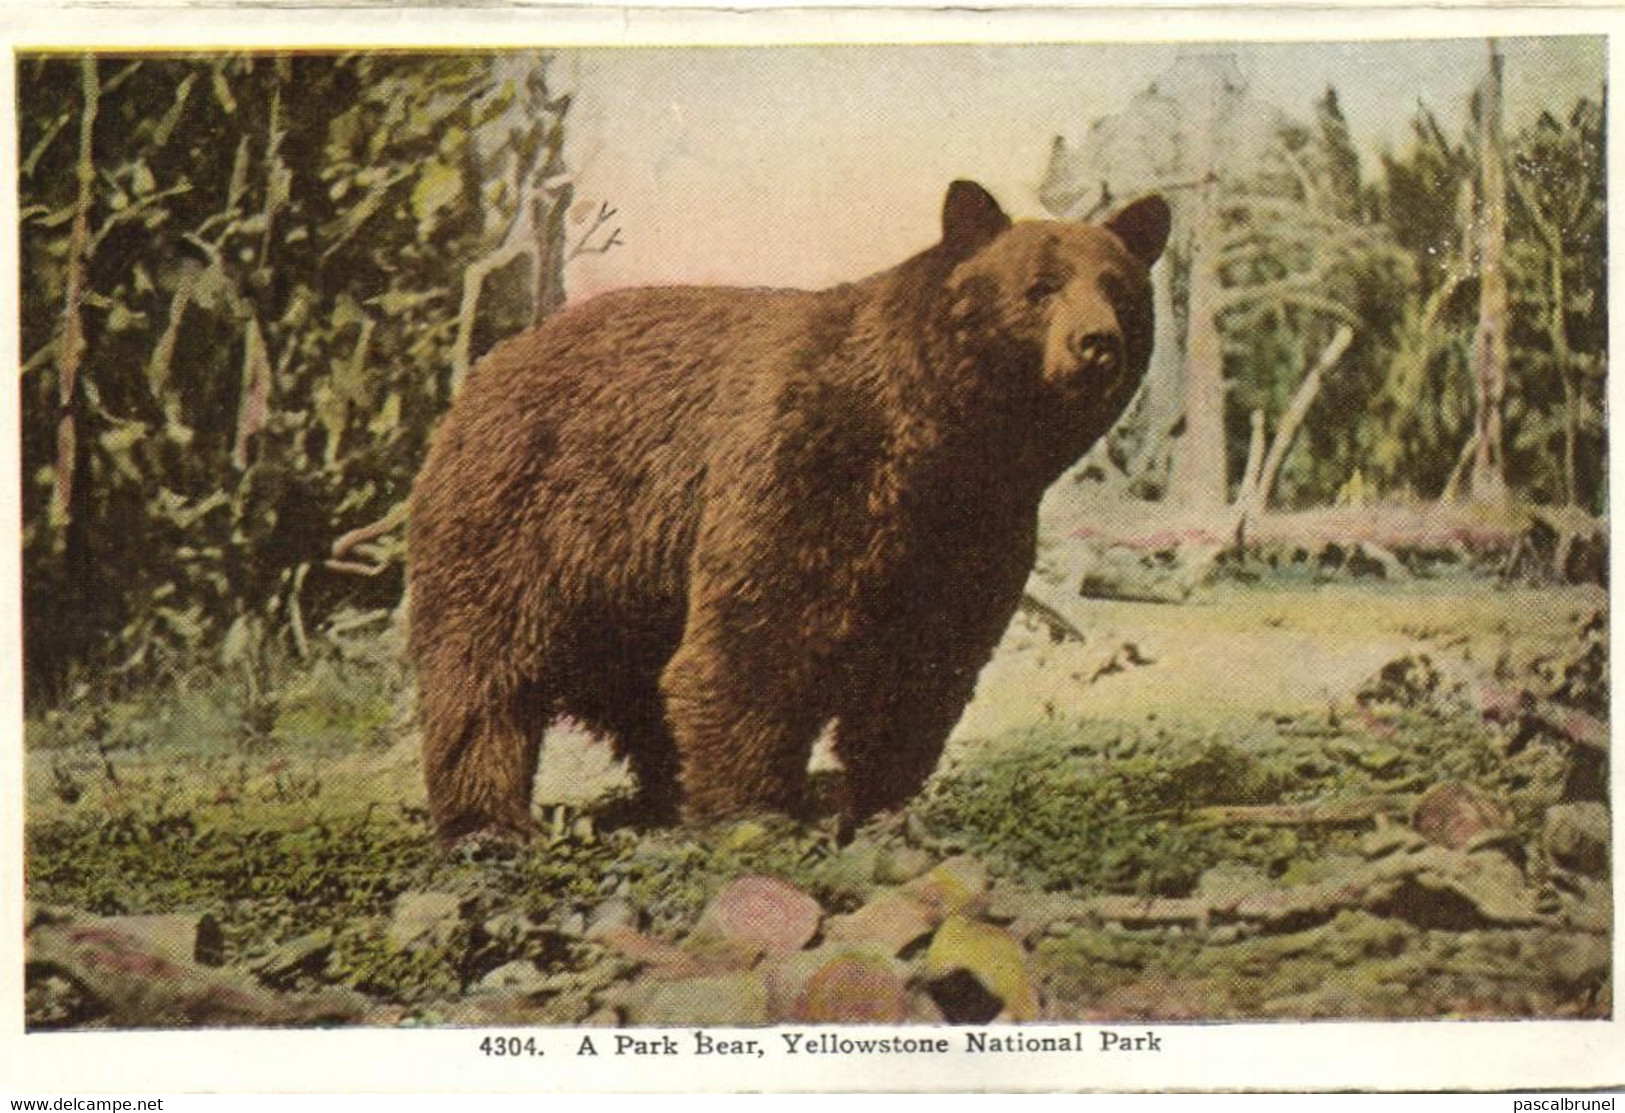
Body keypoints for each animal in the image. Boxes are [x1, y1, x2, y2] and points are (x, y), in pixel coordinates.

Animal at [406, 180, 1170, 831]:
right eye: (1040, 287)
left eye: (1118, 288)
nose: (1096, 343)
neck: (942, 439)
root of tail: (488, 369)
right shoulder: (801, 463)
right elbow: (759, 632)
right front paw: (754, 808)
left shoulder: (975, 523)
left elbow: (927, 660)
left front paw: (881, 797)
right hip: (527, 513)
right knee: (483, 663)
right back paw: (486, 817)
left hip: (628, 582)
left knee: (634, 684)